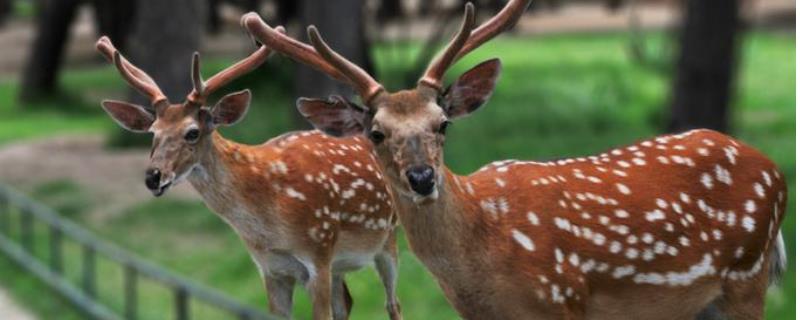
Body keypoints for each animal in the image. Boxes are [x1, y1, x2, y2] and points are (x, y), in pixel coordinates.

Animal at [96, 36, 404, 318]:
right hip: (340, 265)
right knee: (347, 302)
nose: (153, 176)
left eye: (192, 132)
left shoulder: (318, 254)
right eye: (153, 134)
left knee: (392, 303)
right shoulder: (271, 268)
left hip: (387, 237)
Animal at [242, 1, 788, 318]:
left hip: (747, 276)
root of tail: (776, 171)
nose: (422, 178)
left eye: (443, 123)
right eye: (376, 134)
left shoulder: (563, 299)